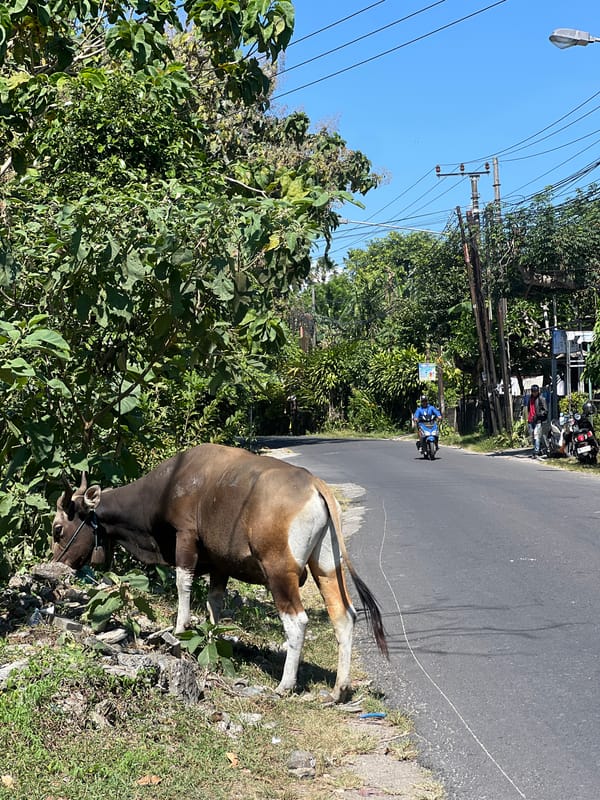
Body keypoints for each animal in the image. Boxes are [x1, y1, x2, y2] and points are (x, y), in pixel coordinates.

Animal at [51, 443, 388, 701]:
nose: (58, 566)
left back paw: (285, 684)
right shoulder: (219, 565)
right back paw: (340, 689)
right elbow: (215, 603)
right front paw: (209, 639)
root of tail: (315, 487)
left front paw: (180, 629)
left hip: (280, 572)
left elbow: (183, 582)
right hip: (327, 567)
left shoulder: (185, 537)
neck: (169, 484)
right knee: (343, 616)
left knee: (297, 621)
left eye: (57, 529)